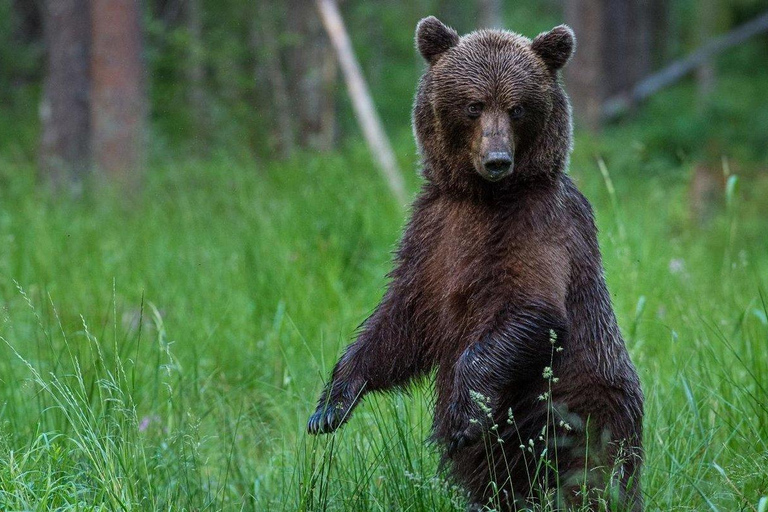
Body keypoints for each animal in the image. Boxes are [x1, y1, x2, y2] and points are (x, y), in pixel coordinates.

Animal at [308, 16, 644, 511]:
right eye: (473, 105)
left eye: (518, 108)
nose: (497, 159)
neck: (483, 197)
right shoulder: (433, 233)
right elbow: (400, 322)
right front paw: (331, 405)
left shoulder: (538, 225)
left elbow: (531, 308)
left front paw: (461, 418)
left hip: (577, 410)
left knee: (590, 474)